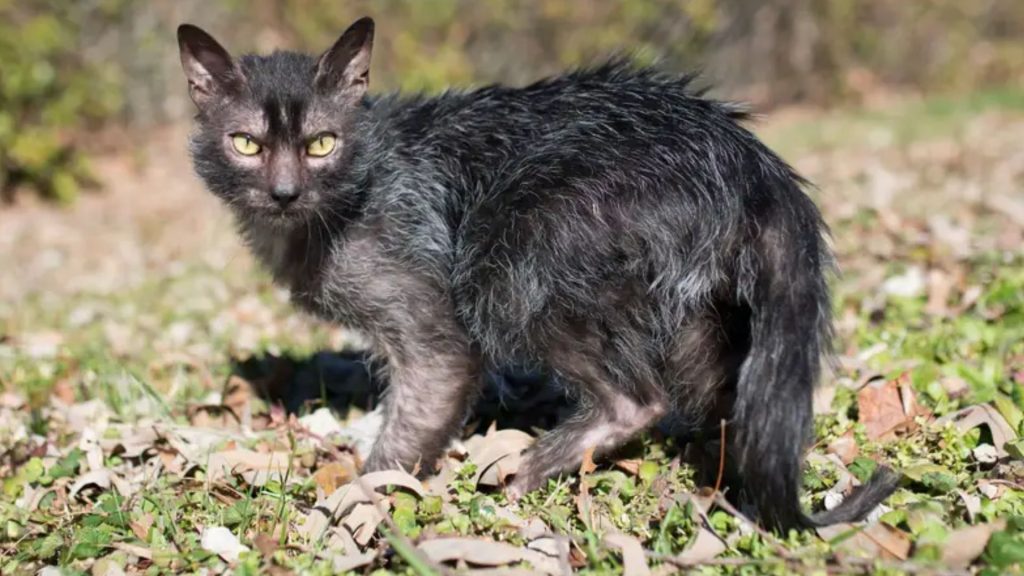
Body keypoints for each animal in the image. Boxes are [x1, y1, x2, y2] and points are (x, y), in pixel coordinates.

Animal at [176, 15, 897, 528]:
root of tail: (751, 160)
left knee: (636, 399)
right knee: (719, 400)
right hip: (697, 314)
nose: (284, 192)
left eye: (322, 144)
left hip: (511, 261)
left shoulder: (436, 336)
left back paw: (534, 469)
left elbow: (406, 431)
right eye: (246, 144)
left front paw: (349, 512)